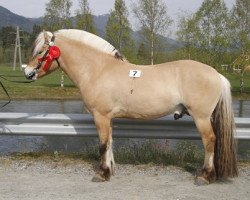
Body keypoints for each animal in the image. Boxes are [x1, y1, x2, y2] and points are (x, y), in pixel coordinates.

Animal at [24, 28, 238, 185]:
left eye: (41, 51)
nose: (28, 72)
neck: (99, 70)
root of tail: (216, 74)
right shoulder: (108, 118)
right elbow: (110, 142)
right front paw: (109, 171)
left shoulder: (100, 116)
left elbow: (103, 144)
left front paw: (101, 174)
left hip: (201, 117)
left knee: (209, 141)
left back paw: (204, 176)